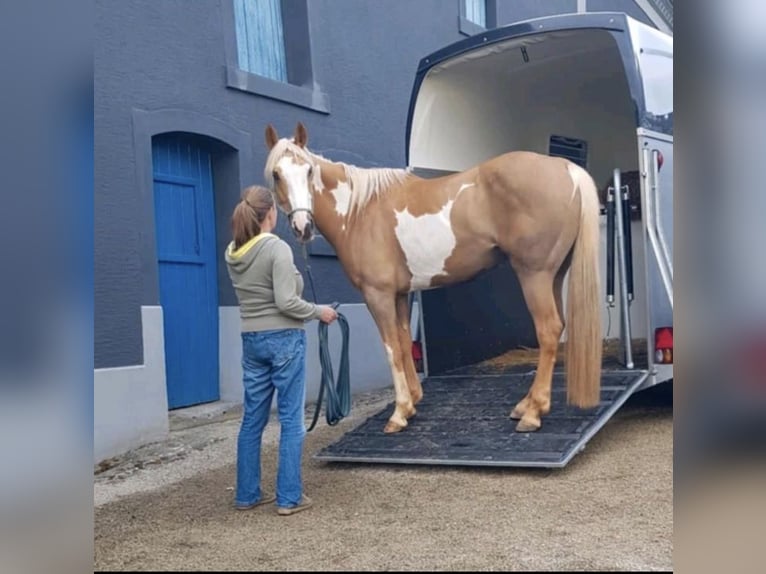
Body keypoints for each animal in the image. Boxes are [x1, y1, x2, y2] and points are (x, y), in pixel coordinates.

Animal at [263, 122, 603, 434]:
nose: (303, 227)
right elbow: (403, 343)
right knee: (558, 327)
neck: (359, 211)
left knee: (548, 330)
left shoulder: (377, 294)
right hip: (554, 275)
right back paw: (527, 405)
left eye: (308, 171)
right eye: (277, 174)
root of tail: (566, 168)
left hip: (534, 274)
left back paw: (532, 414)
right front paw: (412, 402)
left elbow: (390, 347)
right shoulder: (400, 294)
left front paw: (398, 414)